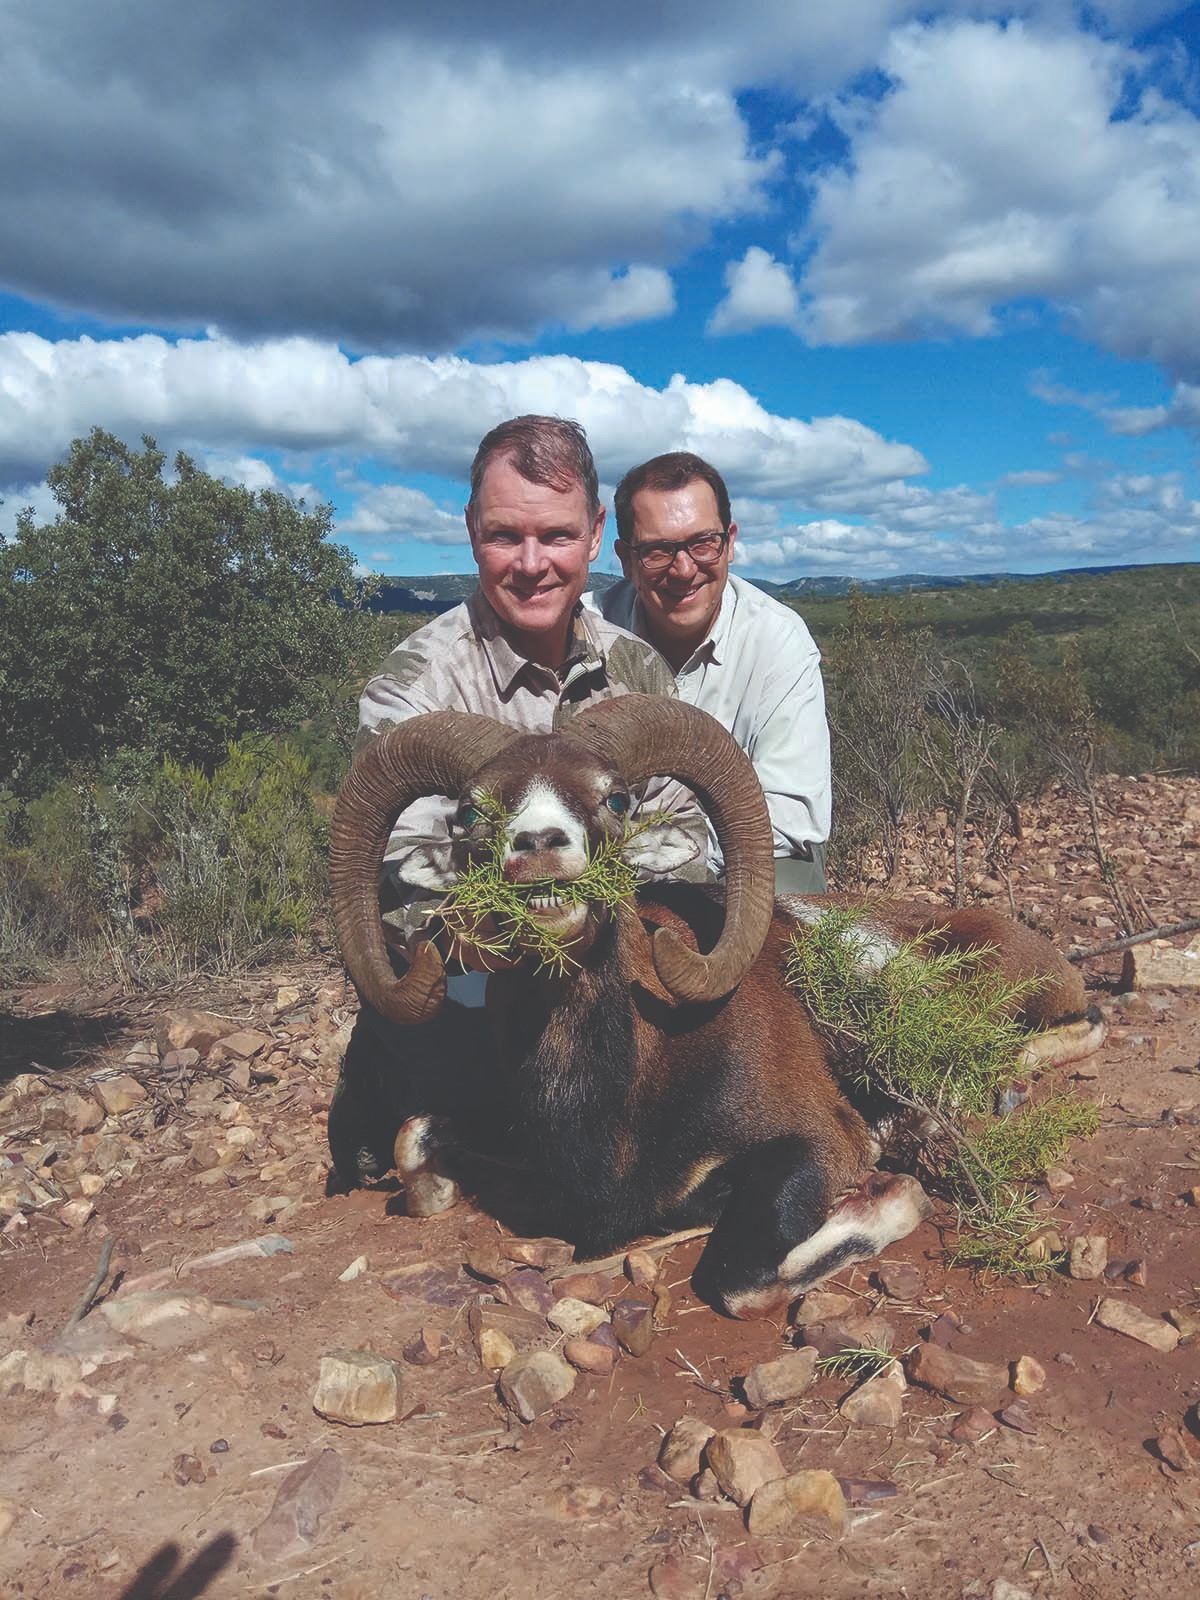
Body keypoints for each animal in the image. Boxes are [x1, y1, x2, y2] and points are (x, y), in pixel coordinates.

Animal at [330, 696, 1105, 1316]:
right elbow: (412, 1140)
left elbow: (741, 1282)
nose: (539, 846)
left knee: (1076, 1027)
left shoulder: (811, 1144)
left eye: (616, 799)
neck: (622, 1088)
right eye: (470, 812)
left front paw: (894, 1192)